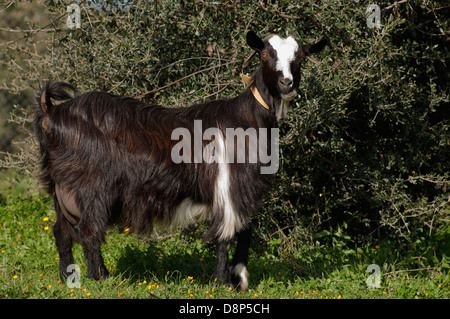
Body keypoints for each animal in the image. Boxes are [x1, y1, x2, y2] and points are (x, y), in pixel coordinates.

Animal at [33, 30, 326, 292]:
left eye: (299, 57)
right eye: (265, 53)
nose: (287, 84)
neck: (249, 119)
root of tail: (52, 112)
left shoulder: (244, 190)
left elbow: (245, 232)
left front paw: (240, 280)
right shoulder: (228, 185)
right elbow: (226, 236)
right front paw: (225, 283)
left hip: (61, 188)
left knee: (62, 232)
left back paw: (68, 278)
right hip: (92, 185)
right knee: (89, 230)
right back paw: (100, 279)